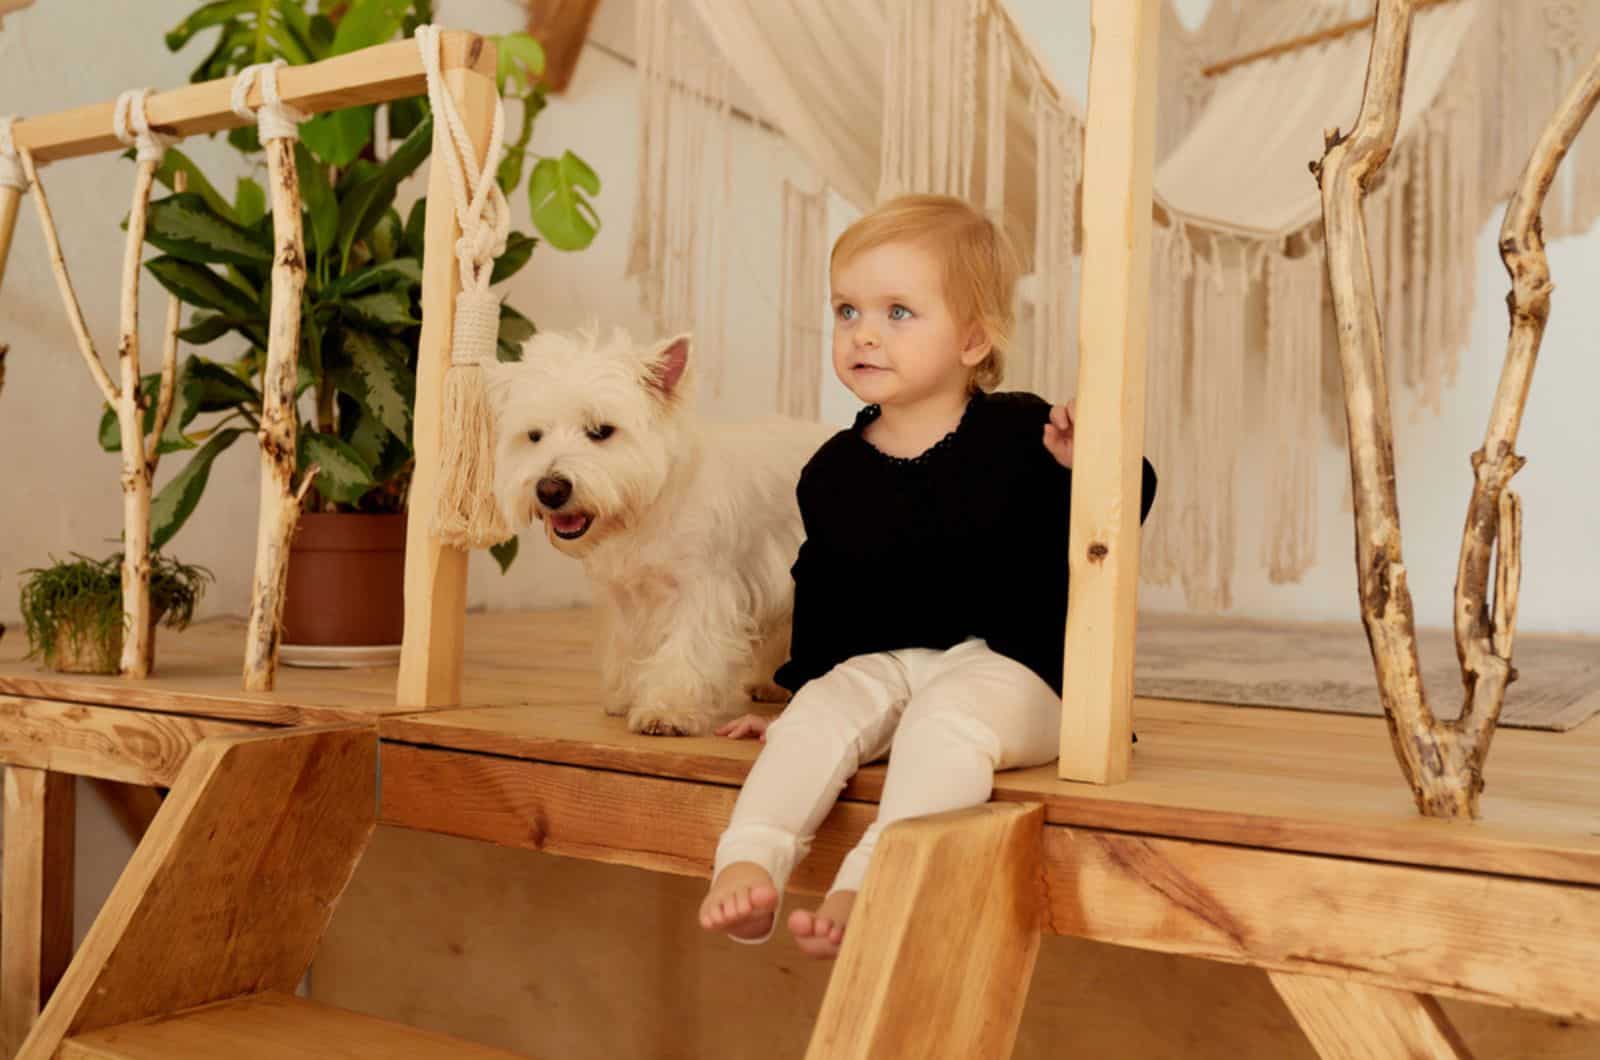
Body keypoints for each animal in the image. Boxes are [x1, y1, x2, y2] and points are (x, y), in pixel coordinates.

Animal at [483, 329, 838, 739]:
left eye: (601, 431)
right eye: (534, 435)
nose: (549, 490)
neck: (644, 512)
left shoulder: (701, 589)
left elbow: (684, 650)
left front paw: (665, 711)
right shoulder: (625, 593)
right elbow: (629, 647)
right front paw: (625, 696)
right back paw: (770, 684)